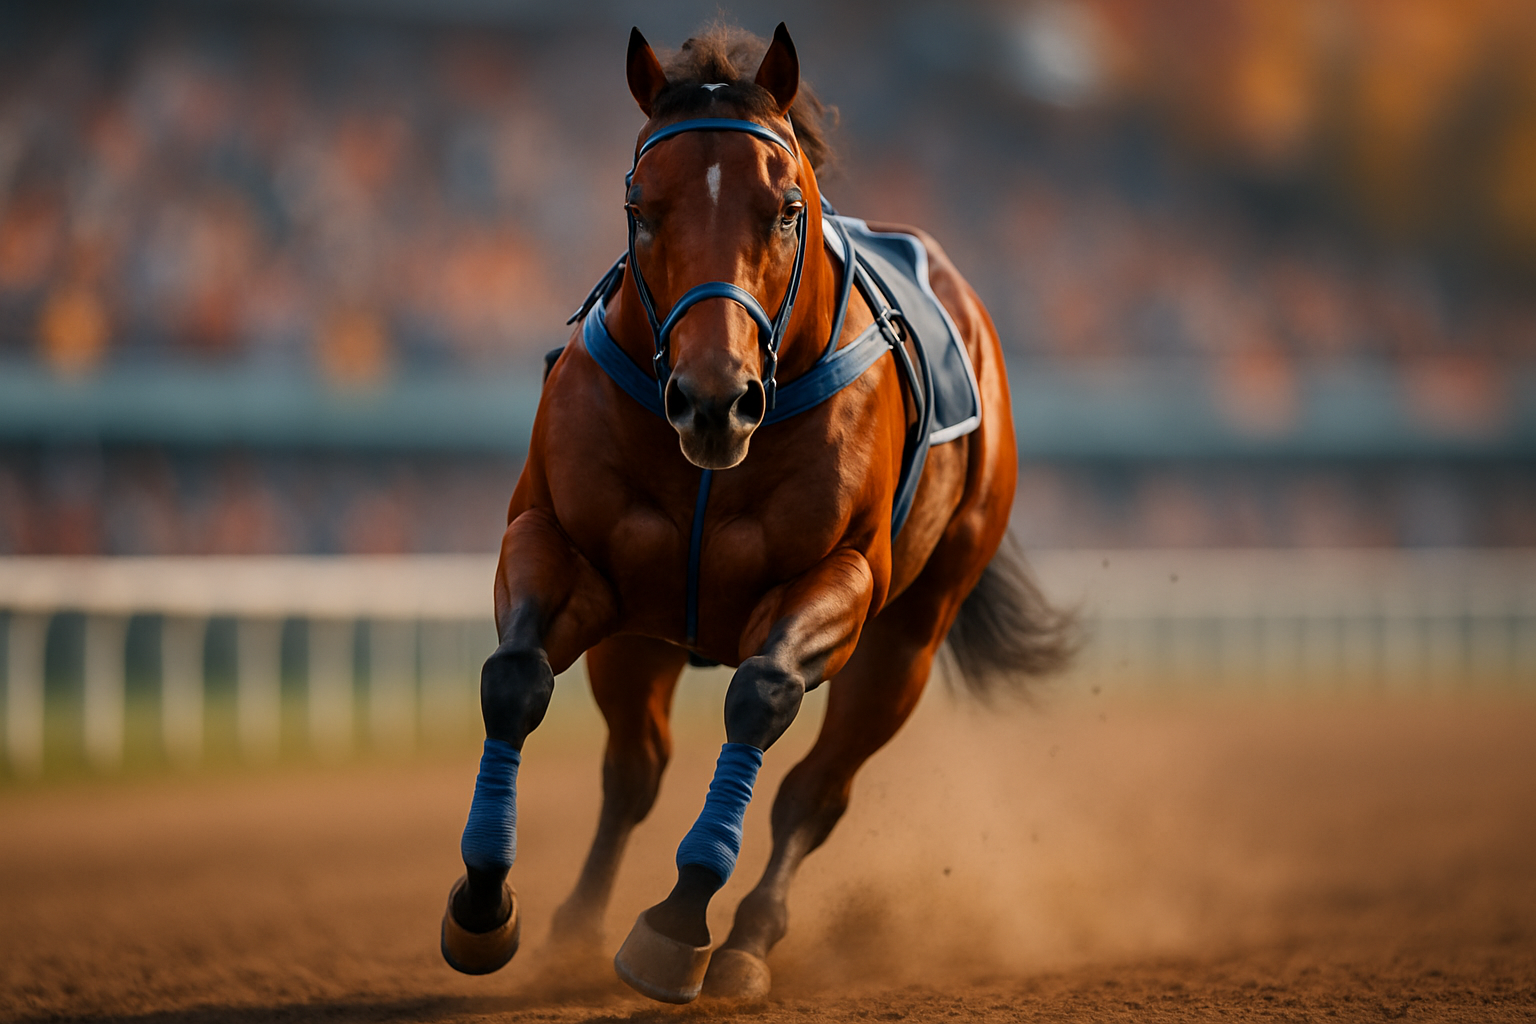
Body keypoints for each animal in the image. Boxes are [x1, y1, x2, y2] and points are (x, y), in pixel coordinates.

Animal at [439, 23, 1073, 1003]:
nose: (713, 399)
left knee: (817, 788)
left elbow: (762, 695)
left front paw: (678, 922)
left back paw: (747, 939)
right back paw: (575, 926)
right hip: (645, 635)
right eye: (641, 208)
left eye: (783, 209)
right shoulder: (565, 546)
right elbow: (513, 681)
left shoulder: (838, 577)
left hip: (912, 633)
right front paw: (482, 904)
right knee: (635, 770)